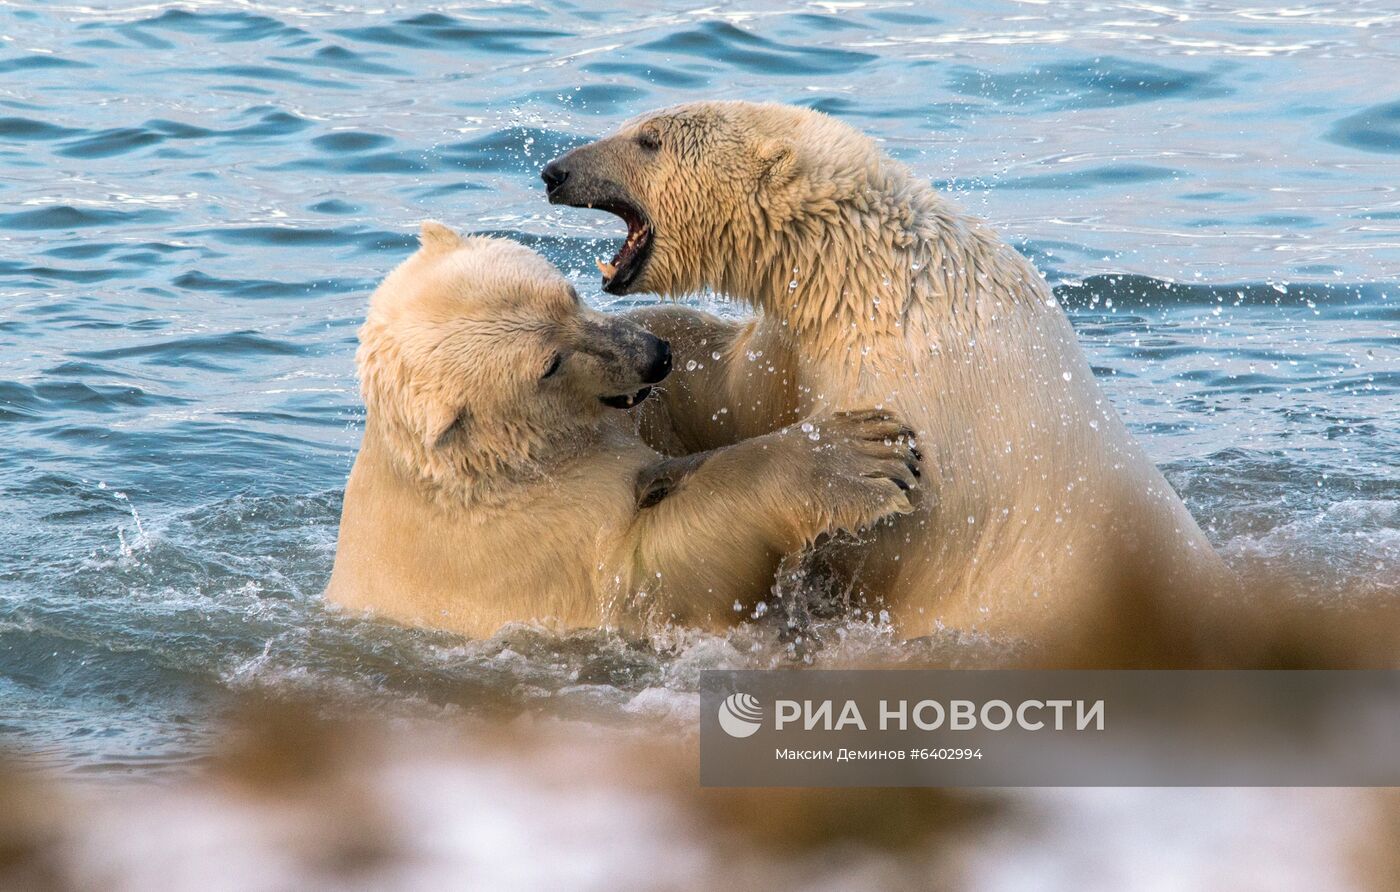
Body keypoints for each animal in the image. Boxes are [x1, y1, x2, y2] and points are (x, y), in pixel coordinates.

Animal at [322, 225, 924, 635]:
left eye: (567, 294)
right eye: (549, 364)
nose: (654, 358)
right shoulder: (532, 536)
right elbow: (650, 572)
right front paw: (865, 455)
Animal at [540, 100, 1232, 635]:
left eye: (649, 140)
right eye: (637, 123)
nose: (554, 171)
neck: (872, 277)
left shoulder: (912, 392)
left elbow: (880, 535)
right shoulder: (800, 343)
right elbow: (734, 389)